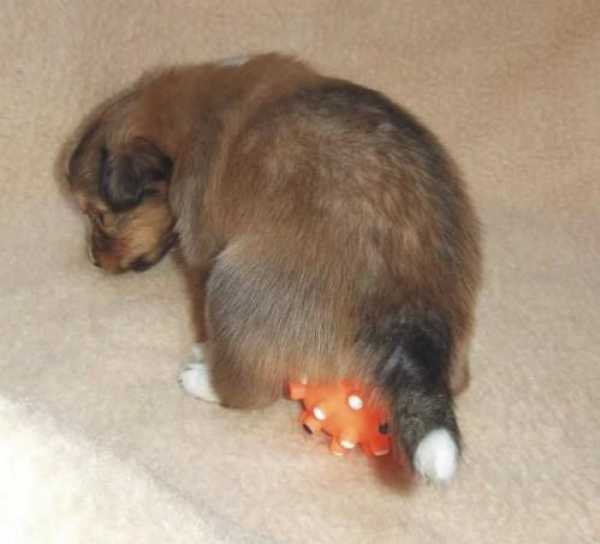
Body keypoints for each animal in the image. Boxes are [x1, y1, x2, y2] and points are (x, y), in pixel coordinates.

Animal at [66, 53, 481, 483]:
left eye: (99, 217)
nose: (94, 259)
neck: (192, 115)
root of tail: (411, 299)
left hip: (231, 285)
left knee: (250, 388)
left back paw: (203, 378)